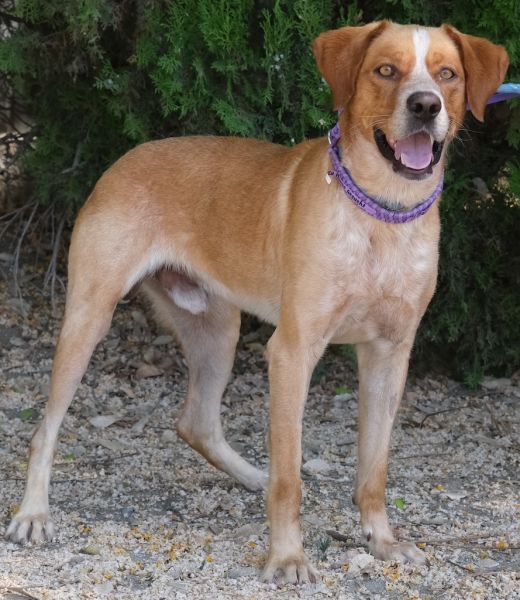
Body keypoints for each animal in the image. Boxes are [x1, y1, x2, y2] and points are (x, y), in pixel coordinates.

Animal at [6, 21, 508, 584]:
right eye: (385, 70)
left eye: (447, 74)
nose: (425, 105)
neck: (381, 215)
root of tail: (125, 157)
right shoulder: (292, 351)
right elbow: (289, 477)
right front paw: (287, 557)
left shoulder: (390, 355)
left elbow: (373, 470)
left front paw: (382, 542)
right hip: (89, 317)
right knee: (45, 429)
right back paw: (33, 514)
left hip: (217, 327)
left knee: (196, 421)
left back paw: (251, 474)